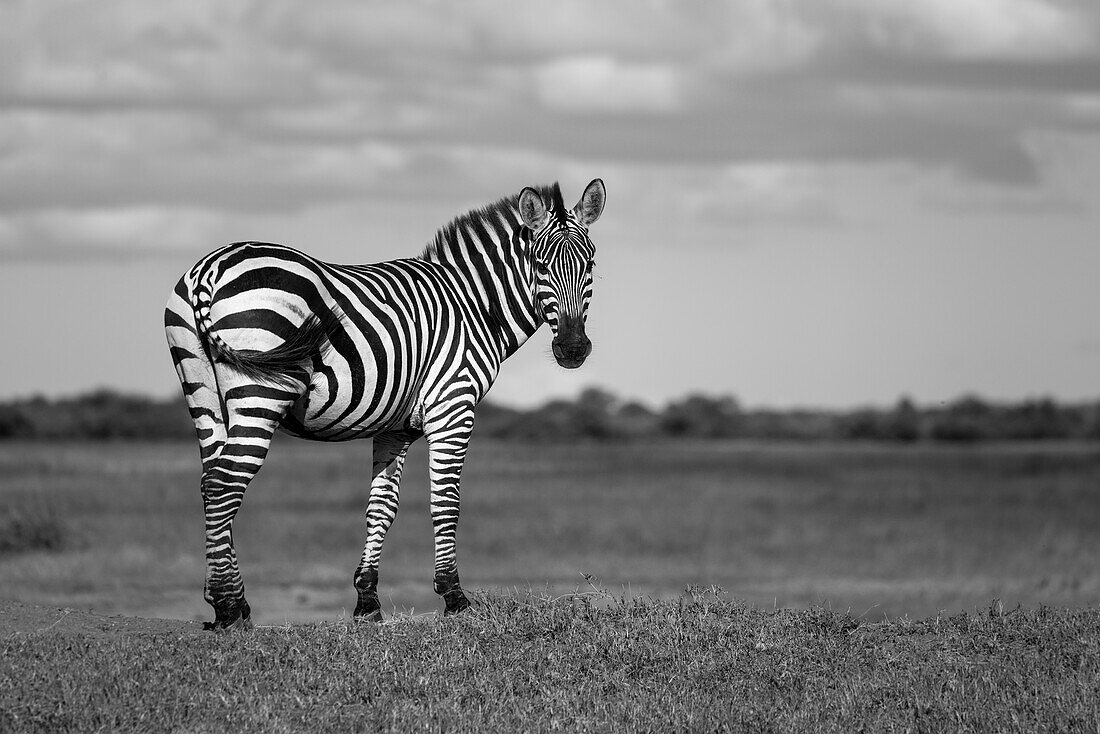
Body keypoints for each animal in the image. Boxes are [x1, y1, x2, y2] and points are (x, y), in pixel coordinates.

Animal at [165, 180, 611, 629]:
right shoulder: (453, 405)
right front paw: (454, 598)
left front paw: (367, 602)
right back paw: (228, 606)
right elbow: (446, 502)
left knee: (210, 483)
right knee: (226, 483)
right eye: (540, 265)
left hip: (202, 391)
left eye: (590, 265)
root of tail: (209, 268)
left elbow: (382, 506)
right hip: (259, 391)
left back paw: (229, 601)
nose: (573, 349)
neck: (473, 306)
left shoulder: (395, 426)